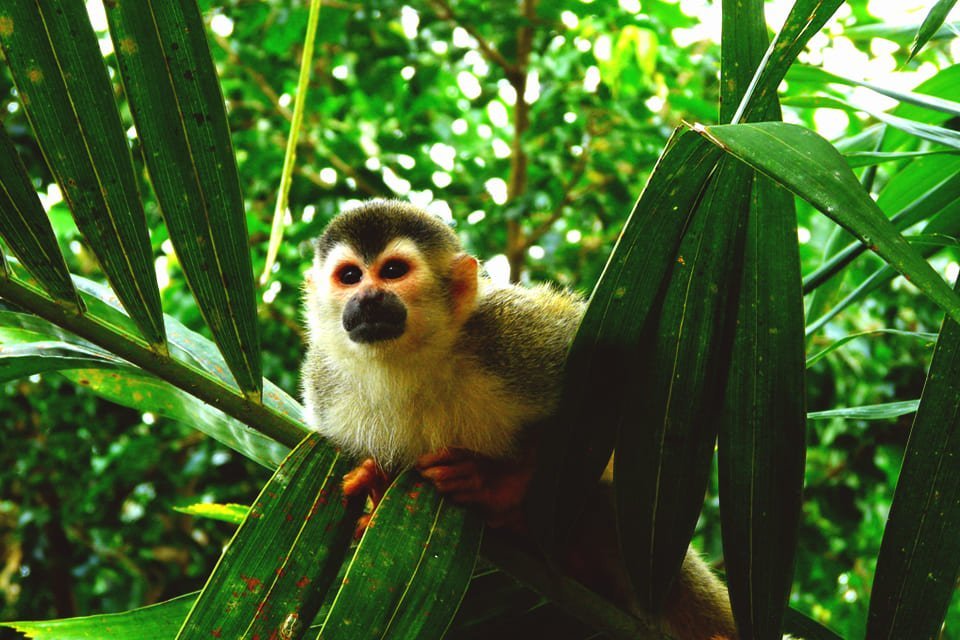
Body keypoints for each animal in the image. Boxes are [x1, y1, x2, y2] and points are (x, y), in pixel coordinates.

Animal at [304, 201, 740, 640]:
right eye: (350, 276)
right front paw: (378, 491)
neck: (410, 363)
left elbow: (619, 374)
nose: (368, 298)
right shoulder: (326, 392)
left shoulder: (509, 337)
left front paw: (499, 487)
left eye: (393, 271)